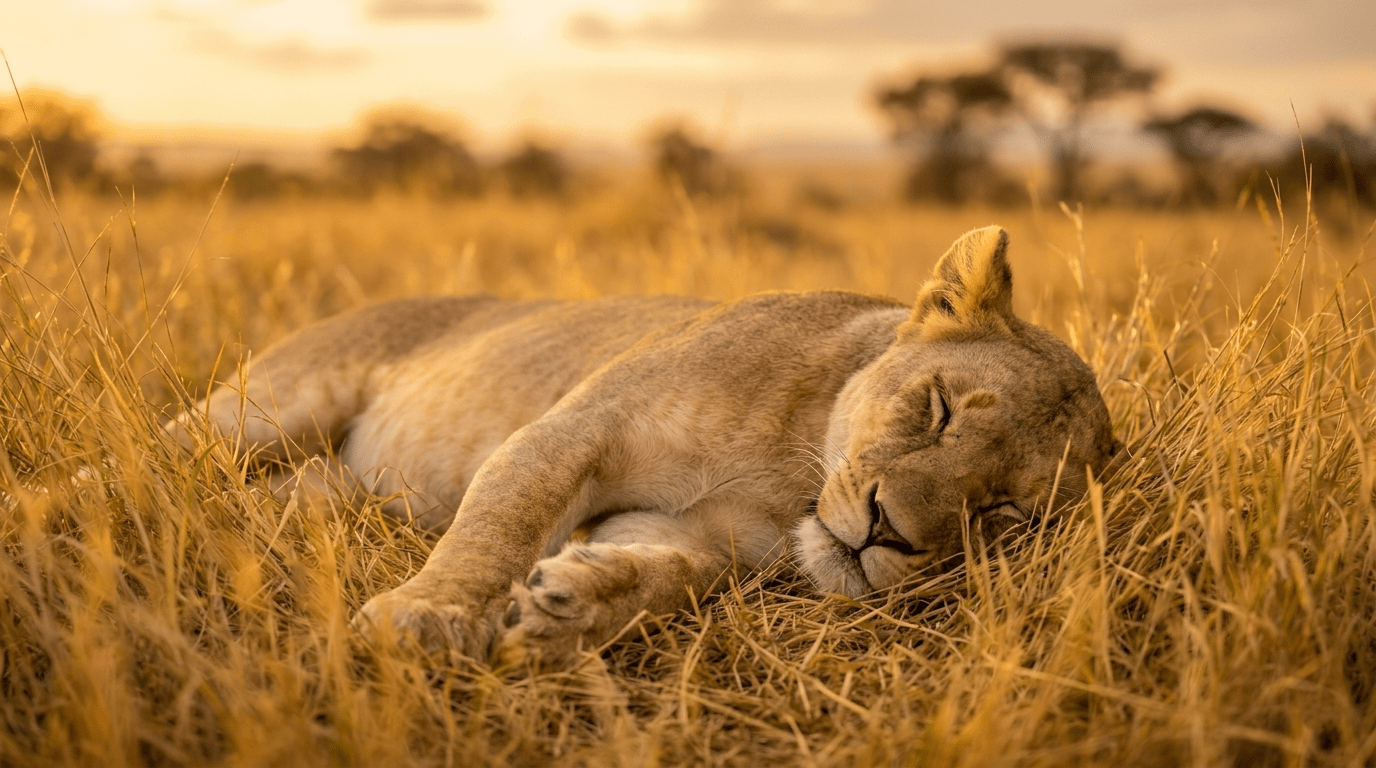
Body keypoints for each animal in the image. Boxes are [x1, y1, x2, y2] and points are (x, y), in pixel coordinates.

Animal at [167, 226, 1119, 665]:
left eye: (1004, 513)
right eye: (939, 409)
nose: (890, 531)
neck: (793, 467)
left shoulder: (701, 538)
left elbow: (670, 579)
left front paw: (572, 608)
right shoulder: (574, 430)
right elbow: (498, 527)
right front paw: (429, 614)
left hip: (317, 475)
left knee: (284, 492)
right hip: (268, 406)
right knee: (162, 455)